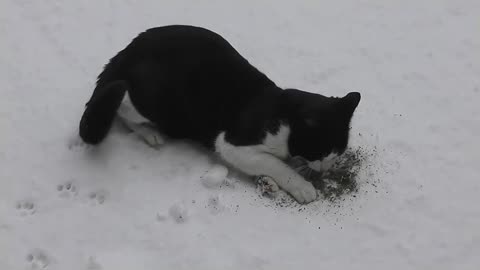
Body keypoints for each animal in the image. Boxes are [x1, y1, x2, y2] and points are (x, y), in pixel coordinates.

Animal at [79, 25, 360, 204]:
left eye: (338, 153)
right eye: (322, 152)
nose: (326, 168)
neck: (286, 118)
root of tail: (125, 53)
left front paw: (269, 182)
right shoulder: (232, 143)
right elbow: (275, 163)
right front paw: (301, 186)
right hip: (158, 100)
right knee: (121, 107)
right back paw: (150, 133)